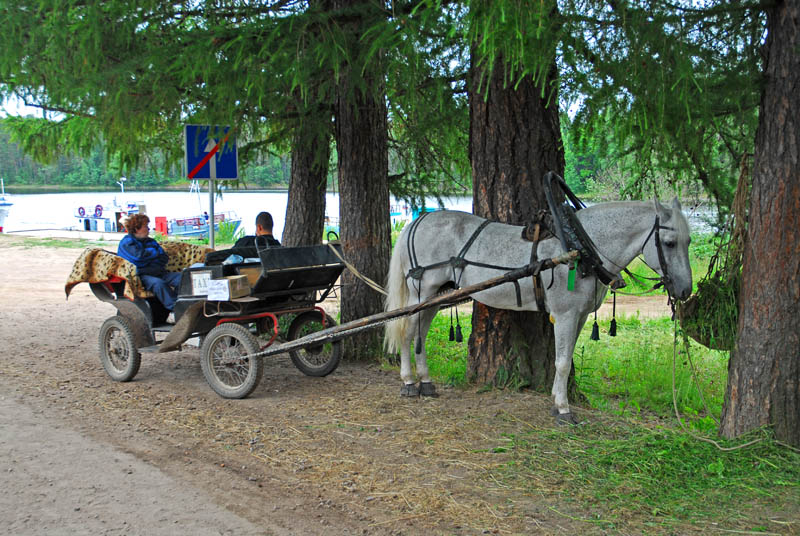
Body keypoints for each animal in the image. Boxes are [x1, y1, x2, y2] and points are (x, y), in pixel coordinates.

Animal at [384, 197, 692, 422]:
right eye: (669, 243)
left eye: (688, 241)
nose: (685, 290)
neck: (580, 250)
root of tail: (418, 221)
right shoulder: (566, 315)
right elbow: (563, 362)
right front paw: (564, 409)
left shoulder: (580, 316)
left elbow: (565, 359)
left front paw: (557, 400)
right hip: (421, 292)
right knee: (408, 334)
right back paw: (409, 382)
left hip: (435, 298)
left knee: (421, 334)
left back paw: (425, 382)